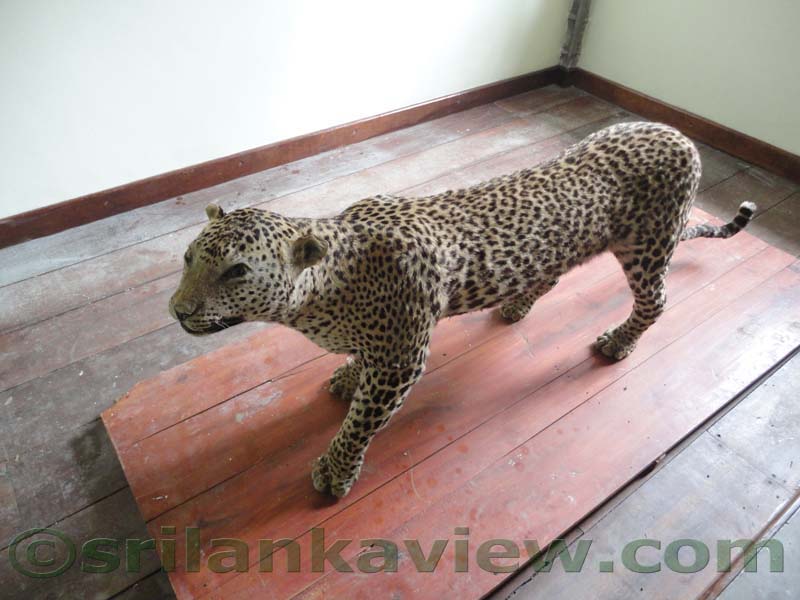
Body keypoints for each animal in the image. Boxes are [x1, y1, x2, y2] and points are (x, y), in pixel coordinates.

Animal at [168, 121, 756, 498]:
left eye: (235, 272)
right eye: (189, 258)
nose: (176, 310)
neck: (320, 295)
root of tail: (678, 134)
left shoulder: (403, 360)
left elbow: (361, 422)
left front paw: (335, 472)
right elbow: (358, 366)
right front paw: (348, 374)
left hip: (649, 244)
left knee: (656, 300)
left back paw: (619, 342)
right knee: (553, 268)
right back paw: (518, 304)